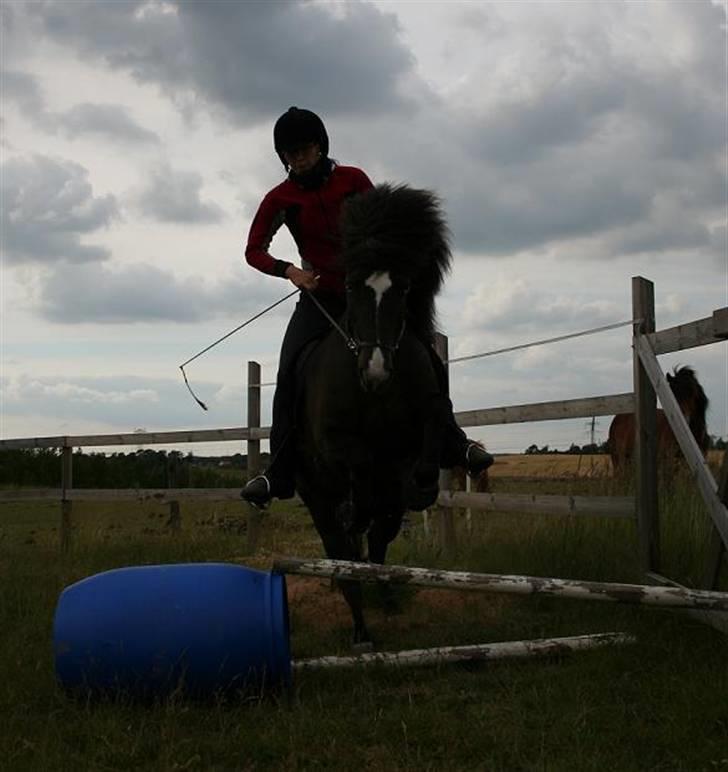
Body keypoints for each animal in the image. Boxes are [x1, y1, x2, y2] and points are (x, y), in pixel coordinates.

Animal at [292, 184, 452, 648]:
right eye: (351, 285)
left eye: (403, 288)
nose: (376, 371)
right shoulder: (336, 446)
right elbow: (359, 471)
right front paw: (356, 510)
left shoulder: (414, 435)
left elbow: (432, 426)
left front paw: (423, 486)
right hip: (315, 496)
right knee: (342, 554)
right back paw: (360, 628)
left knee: (378, 543)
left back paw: (386, 598)